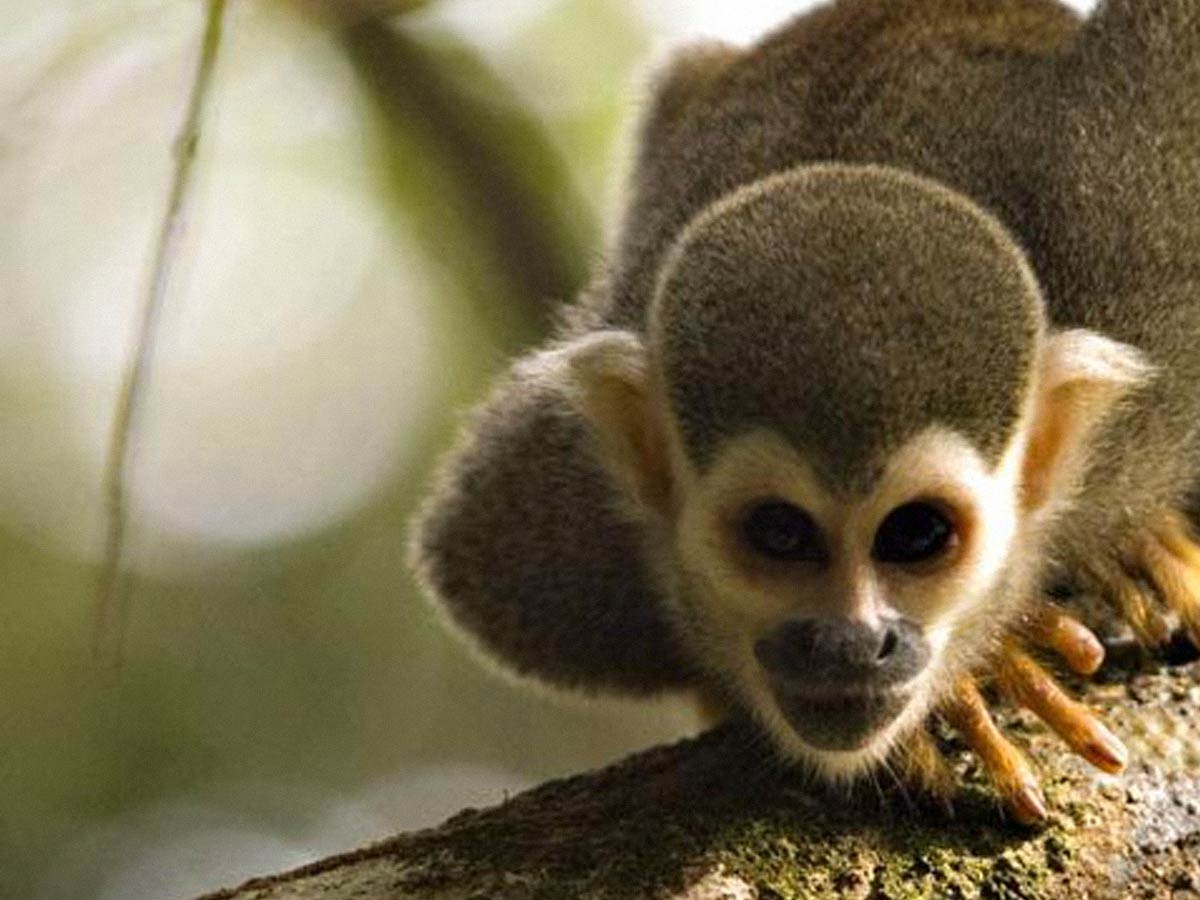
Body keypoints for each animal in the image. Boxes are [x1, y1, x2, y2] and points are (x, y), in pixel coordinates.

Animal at [412, 0, 1200, 825]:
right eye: (780, 533)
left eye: (917, 534)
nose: (850, 643)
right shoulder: (556, 525)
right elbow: (466, 558)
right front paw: (977, 680)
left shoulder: (1142, 239)